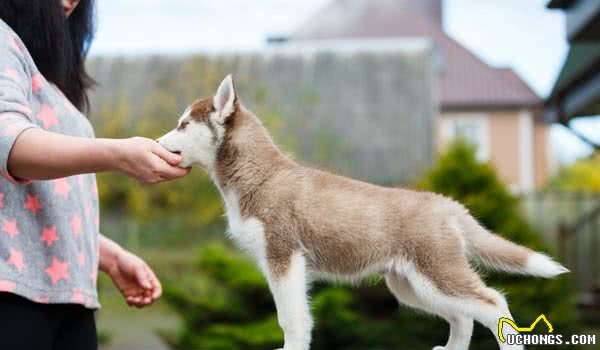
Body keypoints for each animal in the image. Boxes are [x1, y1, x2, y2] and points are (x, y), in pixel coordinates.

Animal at [158, 76, 568, 350]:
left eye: (183, 125)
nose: (157, 142)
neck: (259, 175)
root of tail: (444, 202)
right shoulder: (282, 263)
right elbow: (294, 317)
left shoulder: (283, 256)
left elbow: (291, 319)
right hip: (411, 286)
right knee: (464, 314)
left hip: (435, 274)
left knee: (492, 302)